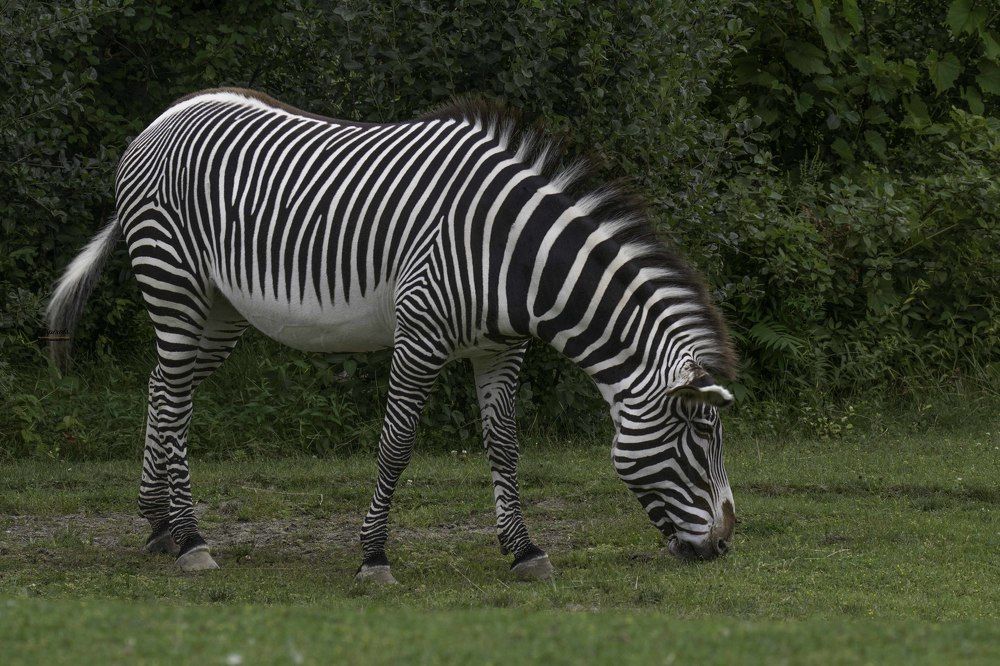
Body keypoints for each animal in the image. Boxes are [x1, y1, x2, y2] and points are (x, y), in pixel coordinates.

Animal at [46, 88, 738, 583]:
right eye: (702, 435)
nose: (727, 544)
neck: (510, 256)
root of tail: (164, 115)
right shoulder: (420, 337)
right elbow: (396, 446)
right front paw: (374, 556)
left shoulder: (500, 349)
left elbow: (505, 447)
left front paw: (524, 551)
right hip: (176, 282)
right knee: (173, 398)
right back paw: (189, 537)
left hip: (218, 310)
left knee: (166, 389)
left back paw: (159, 525)